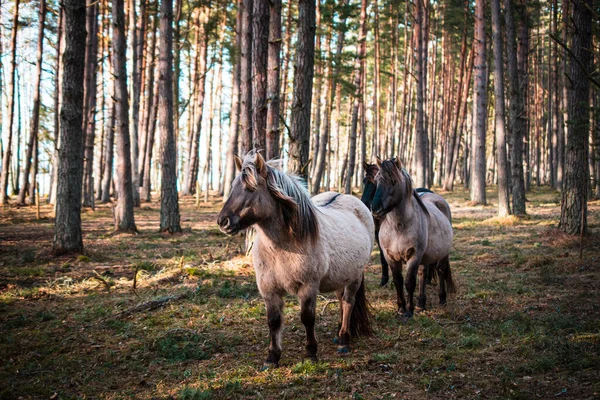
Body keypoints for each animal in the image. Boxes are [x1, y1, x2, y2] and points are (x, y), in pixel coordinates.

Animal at [216, 151, 376, 368]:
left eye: (250, 188)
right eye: (232, 186)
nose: (223, 222)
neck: (282, 247)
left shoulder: (308, 286)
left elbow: (307, 318)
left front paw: (311, 353)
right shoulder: (269, 289)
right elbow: (274, 321)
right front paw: (272, 357)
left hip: (355, 277)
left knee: (348, 303)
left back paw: (344, 340)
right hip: (340, 277)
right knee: (342, 301)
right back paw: (338, 334)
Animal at [370, 156, 454, 318]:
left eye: (393, 181)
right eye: (376, 181)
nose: (375, 209)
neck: (398, 227)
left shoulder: (414, 256)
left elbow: (409, 282)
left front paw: (408, 311)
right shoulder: (391, 257)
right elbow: (398, 281)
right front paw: (401, 308)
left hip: (442, 254)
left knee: (440, 270)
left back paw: (442, 299)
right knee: (423, 273)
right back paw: (421, 304)